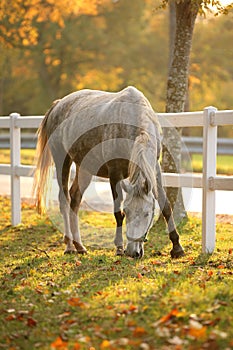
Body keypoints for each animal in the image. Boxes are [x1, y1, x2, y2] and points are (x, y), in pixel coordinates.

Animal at [33, 86, 185, 258]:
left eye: (147, 213)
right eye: (128, 211)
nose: (133, 252)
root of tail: (58, 105)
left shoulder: (154, 171)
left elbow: (166, 206)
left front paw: (177, 247)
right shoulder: (115, 174)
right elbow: (118, 213)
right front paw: (119, 248)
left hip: (84, 168)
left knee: (75, 199)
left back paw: (80, 246)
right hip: (62, 161)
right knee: (64, 200)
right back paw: (70, 245)